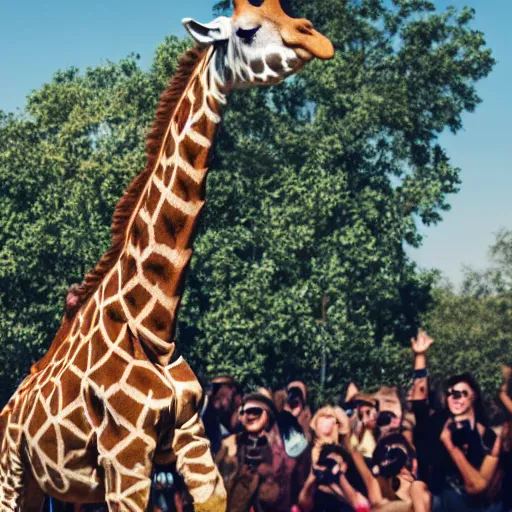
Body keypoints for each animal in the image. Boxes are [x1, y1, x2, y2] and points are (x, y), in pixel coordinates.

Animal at [0, 2, 334, 510]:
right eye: (247, 30)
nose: (319, 41)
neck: (154, 323)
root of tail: (7, 405)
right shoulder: (125, 455)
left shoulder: (191, 438)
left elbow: (214, 497)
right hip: (12, 471)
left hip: (52, 484)